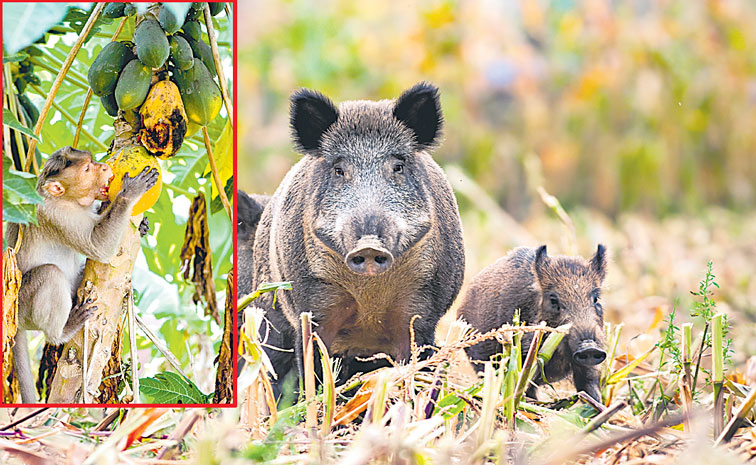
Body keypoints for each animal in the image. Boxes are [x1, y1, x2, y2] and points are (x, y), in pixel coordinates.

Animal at [249, 82, 466, 394]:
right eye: (340, 170)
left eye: (398, 166)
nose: (369, 244)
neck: (369, 299)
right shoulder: (312, 308)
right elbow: (313, 369)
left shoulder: (422, 311)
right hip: (269, 310)